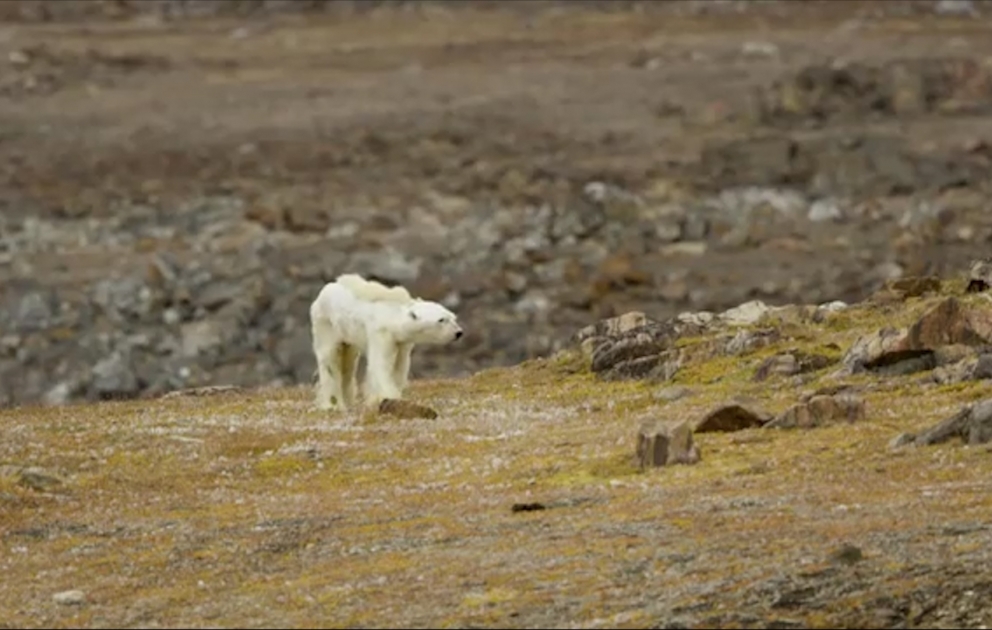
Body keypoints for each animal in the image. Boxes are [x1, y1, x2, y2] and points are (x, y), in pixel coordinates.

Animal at [309, 273, 463, 412]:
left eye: (453, 317)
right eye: (441, 320)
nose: (459, 332)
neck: (392, 315)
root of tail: (323, 291)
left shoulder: (402, 342)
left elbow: (400, 366)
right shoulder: (381, 333)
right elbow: (381, 364)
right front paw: (389, 398)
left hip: (347, 333)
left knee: (348, 362)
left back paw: (347, 401)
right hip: (327, 324)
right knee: (330, 358)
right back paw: (333, 404)